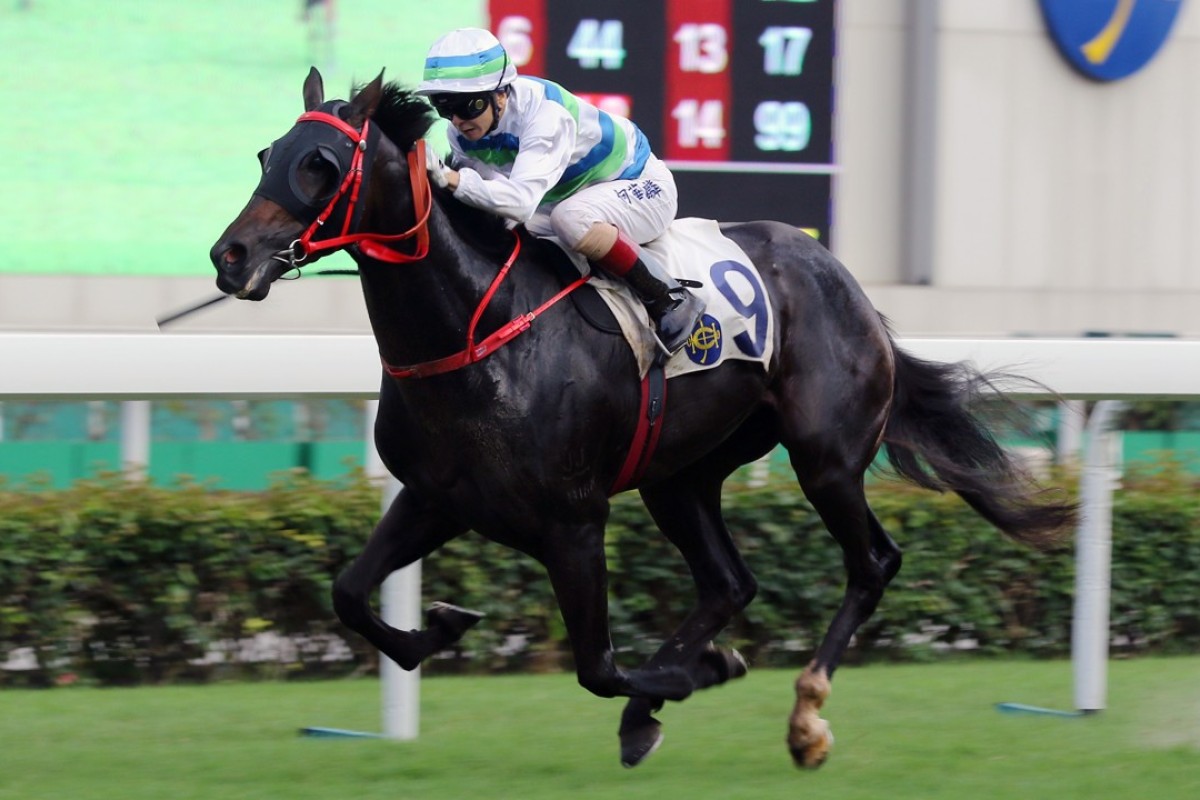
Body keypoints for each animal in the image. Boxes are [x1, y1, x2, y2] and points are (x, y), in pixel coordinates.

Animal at [211, 71, 1075, 772]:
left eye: (320, 165)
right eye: (264, 154)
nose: (230, 256)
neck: (475, 332)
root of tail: (847, 284)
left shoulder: (572, 520)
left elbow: (595, 664)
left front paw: (705, 673)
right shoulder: (436, 497)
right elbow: (350, 594)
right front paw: (443, 628)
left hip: (825, 458)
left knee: (872, 565)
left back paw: (803, 719)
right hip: (680, 475)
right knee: (729, 581)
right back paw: (657, 708)